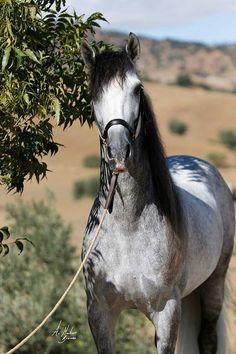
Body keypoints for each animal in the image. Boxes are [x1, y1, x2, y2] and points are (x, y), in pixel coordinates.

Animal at [80, 34, 234, 354]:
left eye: (137, 88)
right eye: (93, 93)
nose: (118, 152)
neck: (129, 227)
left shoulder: (166, 313)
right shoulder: (99, 313)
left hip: (214, 284)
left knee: (207, 339)